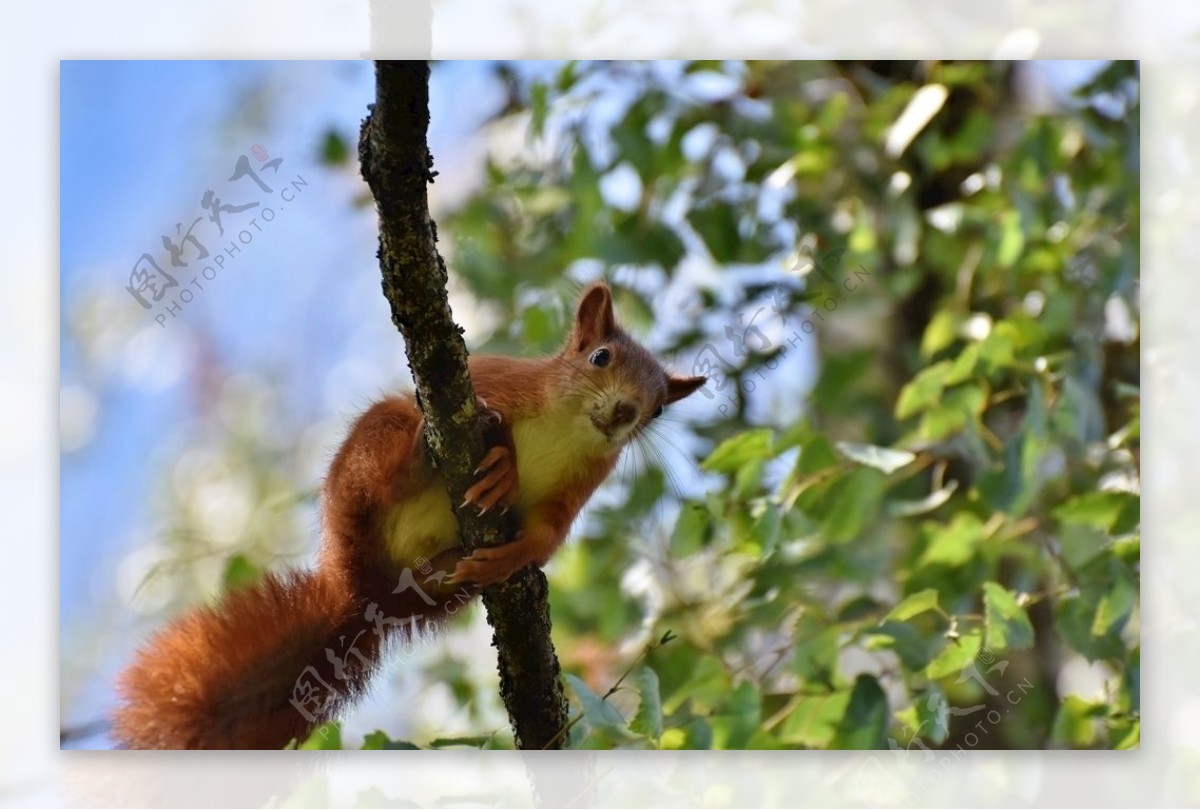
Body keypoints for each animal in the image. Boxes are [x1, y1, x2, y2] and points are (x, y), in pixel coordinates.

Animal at [109, 282, 705, 748]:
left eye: (657, 409)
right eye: (600, 357)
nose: (626, 412)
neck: (568, 429)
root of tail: (361, 590)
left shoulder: (576, 489)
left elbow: (545, 537)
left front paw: (511, 557)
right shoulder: (498, 383)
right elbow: (491, 415)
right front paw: (508, 466)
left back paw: (455, 563)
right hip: (373, 450)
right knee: (387, 471)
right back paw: (416, 462)